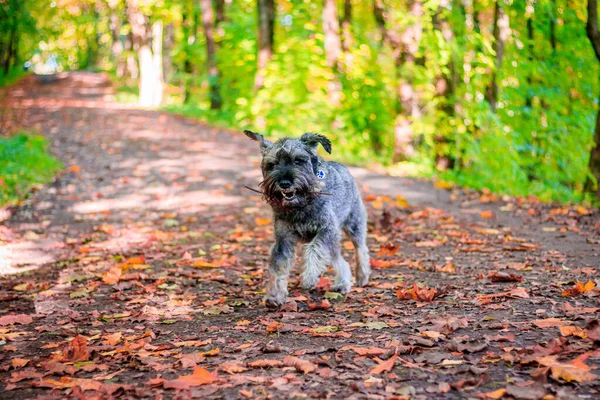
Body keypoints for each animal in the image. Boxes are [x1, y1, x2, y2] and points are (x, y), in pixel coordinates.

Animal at [244, 130, 370, 308]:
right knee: (339, 259)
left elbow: (314, 249)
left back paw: (362, 275)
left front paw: (309, 277)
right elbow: (278, 266)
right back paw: (342, 283)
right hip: (334, 240)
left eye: (298, 160)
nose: (284, 183)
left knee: (361, 249)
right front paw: (274, 295)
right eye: (272, 164)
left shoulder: (326, 230)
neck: (300, 204)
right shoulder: (284, 239)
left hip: (354, 225)